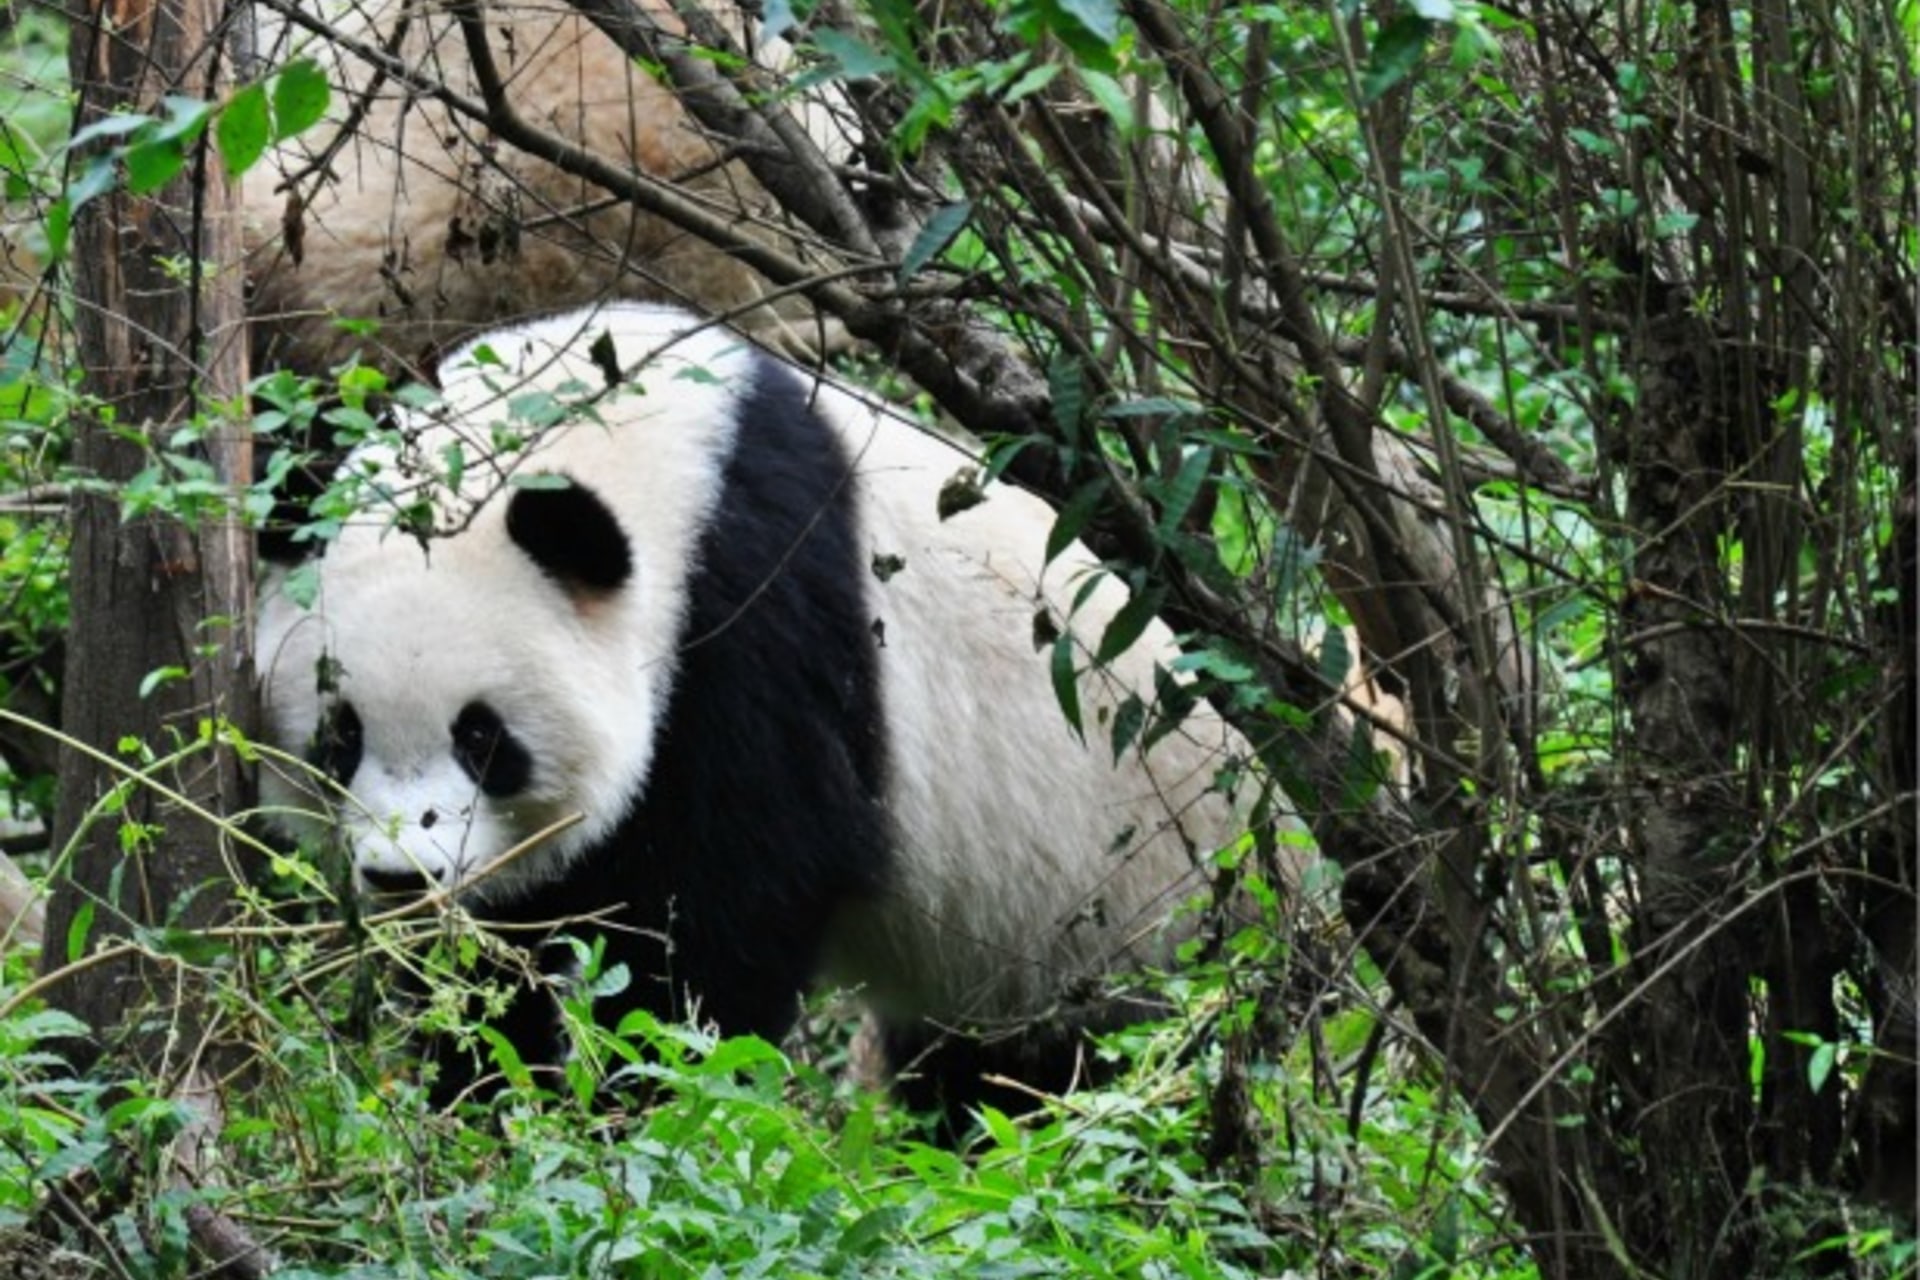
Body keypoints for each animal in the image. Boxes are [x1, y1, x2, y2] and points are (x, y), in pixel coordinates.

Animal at [255, 302, 1273, 1125]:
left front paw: (638, 1107)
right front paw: (479, 1099)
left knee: (1082, 1076)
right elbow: (497, 957)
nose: (403, 877)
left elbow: (721, 914)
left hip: (1141, 906)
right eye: (340, 735)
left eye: (481, 737)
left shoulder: (757, 625)